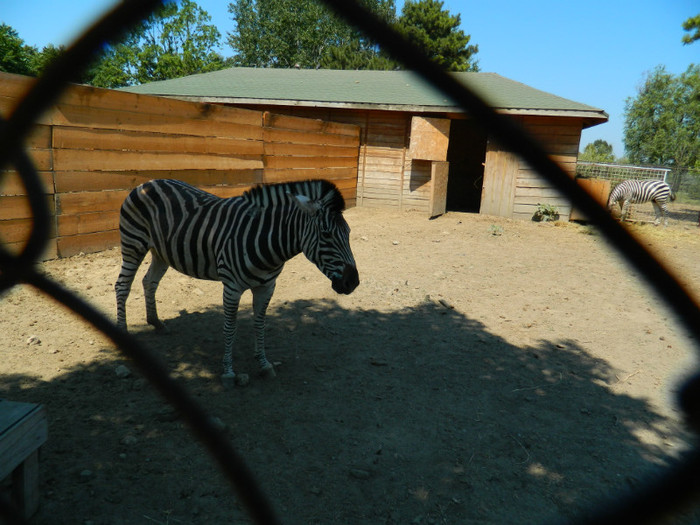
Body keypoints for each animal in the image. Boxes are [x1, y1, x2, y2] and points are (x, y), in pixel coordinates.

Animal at [116, 178, 360, 386]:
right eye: (326, 234)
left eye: (348, 232)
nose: (353, 283)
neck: (267, 242)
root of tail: (145, 183)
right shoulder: (232, 287)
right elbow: (230, 327)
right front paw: (228, 372)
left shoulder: (267, 287)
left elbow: (260, 324)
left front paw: (264, 364)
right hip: (133, 244)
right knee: (122, 286)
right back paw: (122, 333)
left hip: (161, 252)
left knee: (149, 281)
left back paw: (155, 322)